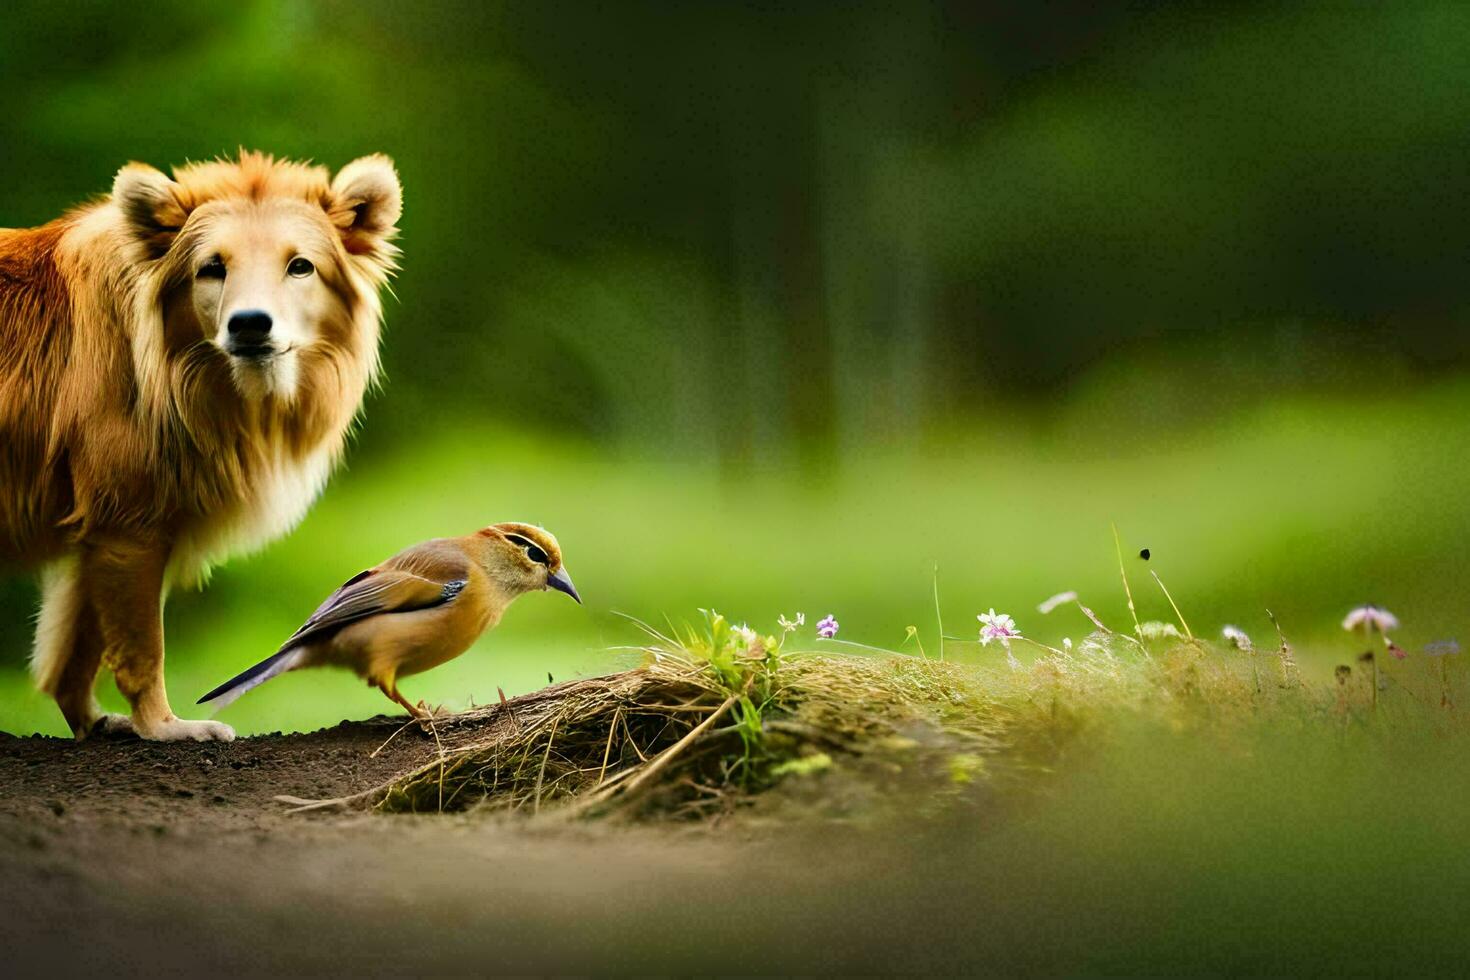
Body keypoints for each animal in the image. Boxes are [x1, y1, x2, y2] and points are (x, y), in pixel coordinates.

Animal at [0, 149, 402, 740]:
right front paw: (165, 728)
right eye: (213, 267)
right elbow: (140, 650)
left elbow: (74, 653)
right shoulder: (127, 527)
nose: (250, 324)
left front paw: (95, 723)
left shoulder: (99, 529)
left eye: (299, 266)